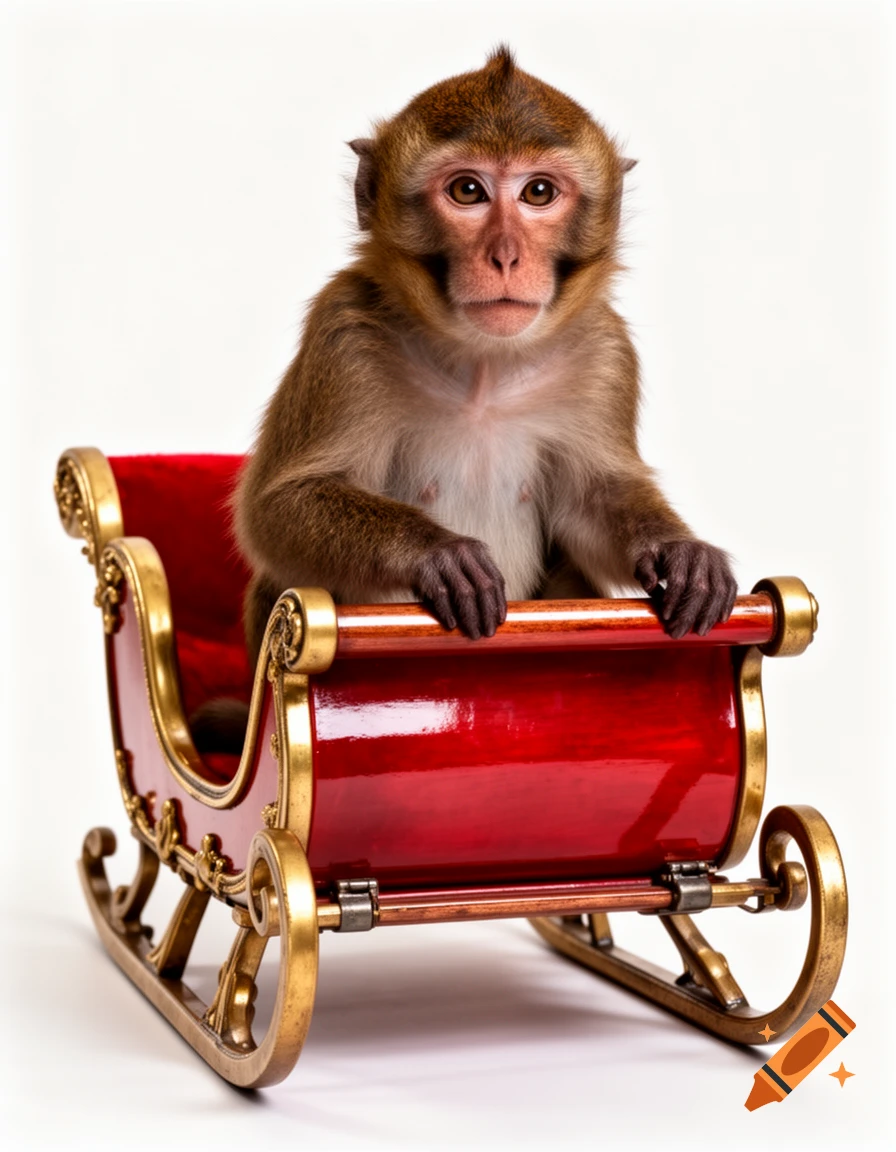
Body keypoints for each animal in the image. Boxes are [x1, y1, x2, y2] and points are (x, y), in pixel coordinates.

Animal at [190, 47, 737, 756]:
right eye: (468, 191)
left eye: (538, 192)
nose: (505, 256)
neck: (483, 367)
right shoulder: (344, 335)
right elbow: (276, 509)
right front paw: (435, 553)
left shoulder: (605, 356)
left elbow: (592, 504)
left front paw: (680, 552)